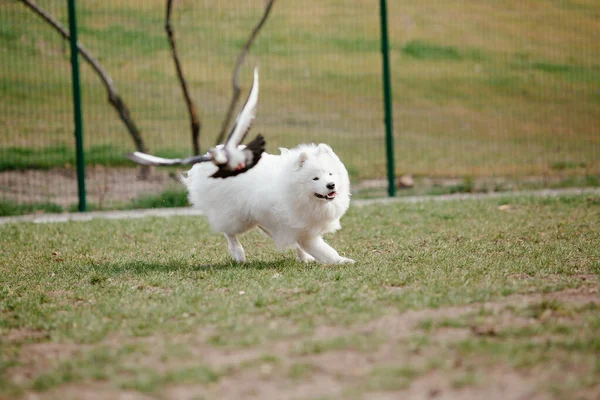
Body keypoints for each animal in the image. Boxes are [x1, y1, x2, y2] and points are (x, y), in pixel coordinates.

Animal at [180, 142, 354, 264]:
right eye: (315, 178)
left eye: (330, 174)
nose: (331, 185)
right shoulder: (303, 230)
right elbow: (324, 250)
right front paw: (342, 261)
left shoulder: (295, 225)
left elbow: (303, 243)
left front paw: (306, 257)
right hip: (238, 217)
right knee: (229, 232)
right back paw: (238, 253)